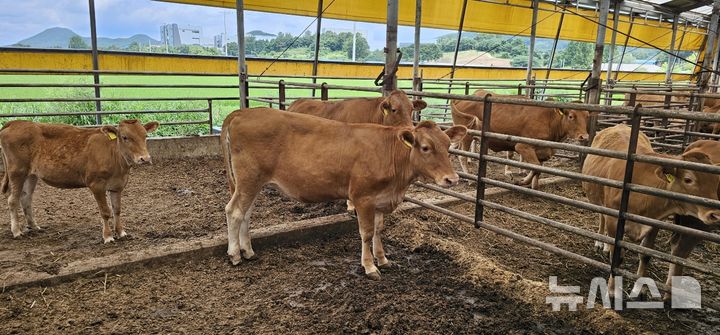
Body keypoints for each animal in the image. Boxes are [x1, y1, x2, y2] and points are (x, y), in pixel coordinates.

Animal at [0, 119, 158, 243]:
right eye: (125, 137)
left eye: (145, 135)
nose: (145, 158)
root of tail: (15, 122)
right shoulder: (96, 185)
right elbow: (105, 212)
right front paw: (108, 236)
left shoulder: (118, 185)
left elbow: (117, 210)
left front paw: (121, 233)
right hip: (17, 171)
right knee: (12, 200)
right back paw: (16, 231)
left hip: (31, 174)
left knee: (26, 198)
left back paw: (34, 226)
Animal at [221, 108, 466, 280]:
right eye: (425, 147)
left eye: (448, 146)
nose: (452, 179)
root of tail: (241, 112)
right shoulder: (363, 198)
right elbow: (366, 233)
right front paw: (369, 266)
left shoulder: (380, 199)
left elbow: (379, 230)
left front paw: (382, 258)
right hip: (249, 179)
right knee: (234, 211)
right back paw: (235, 255)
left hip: (251, 183)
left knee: (246, 214)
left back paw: (247, 250)